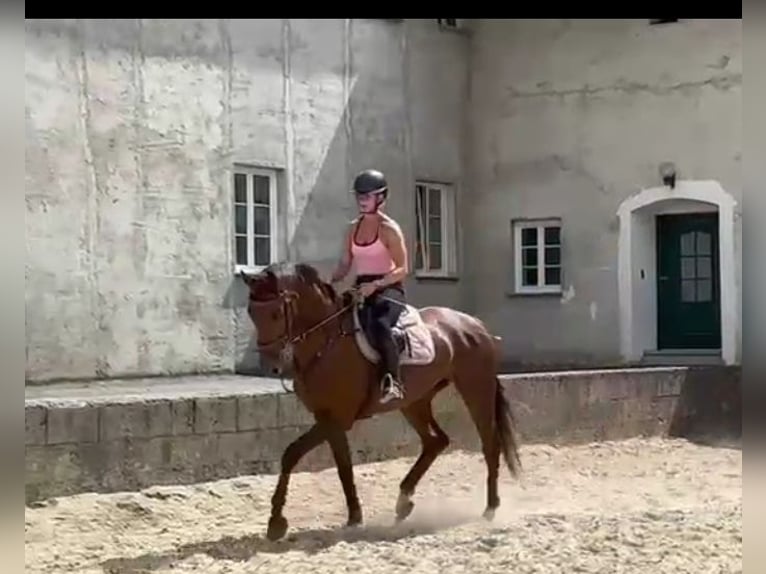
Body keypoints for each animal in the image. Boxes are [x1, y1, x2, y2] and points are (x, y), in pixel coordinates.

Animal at [243, 264, 524, 544]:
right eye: (251, 313)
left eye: (276, 313)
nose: (271, 365)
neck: (326, 343)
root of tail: (475, 324)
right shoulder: (327, 418)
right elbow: (342, 466)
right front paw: (353, 517)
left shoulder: (337, 418)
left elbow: (292, 453)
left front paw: (277, 521)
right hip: (415, 401)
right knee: (436, 441)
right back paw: (404, 501)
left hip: (476, 390)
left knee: (489, 445)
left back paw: (490, 508)